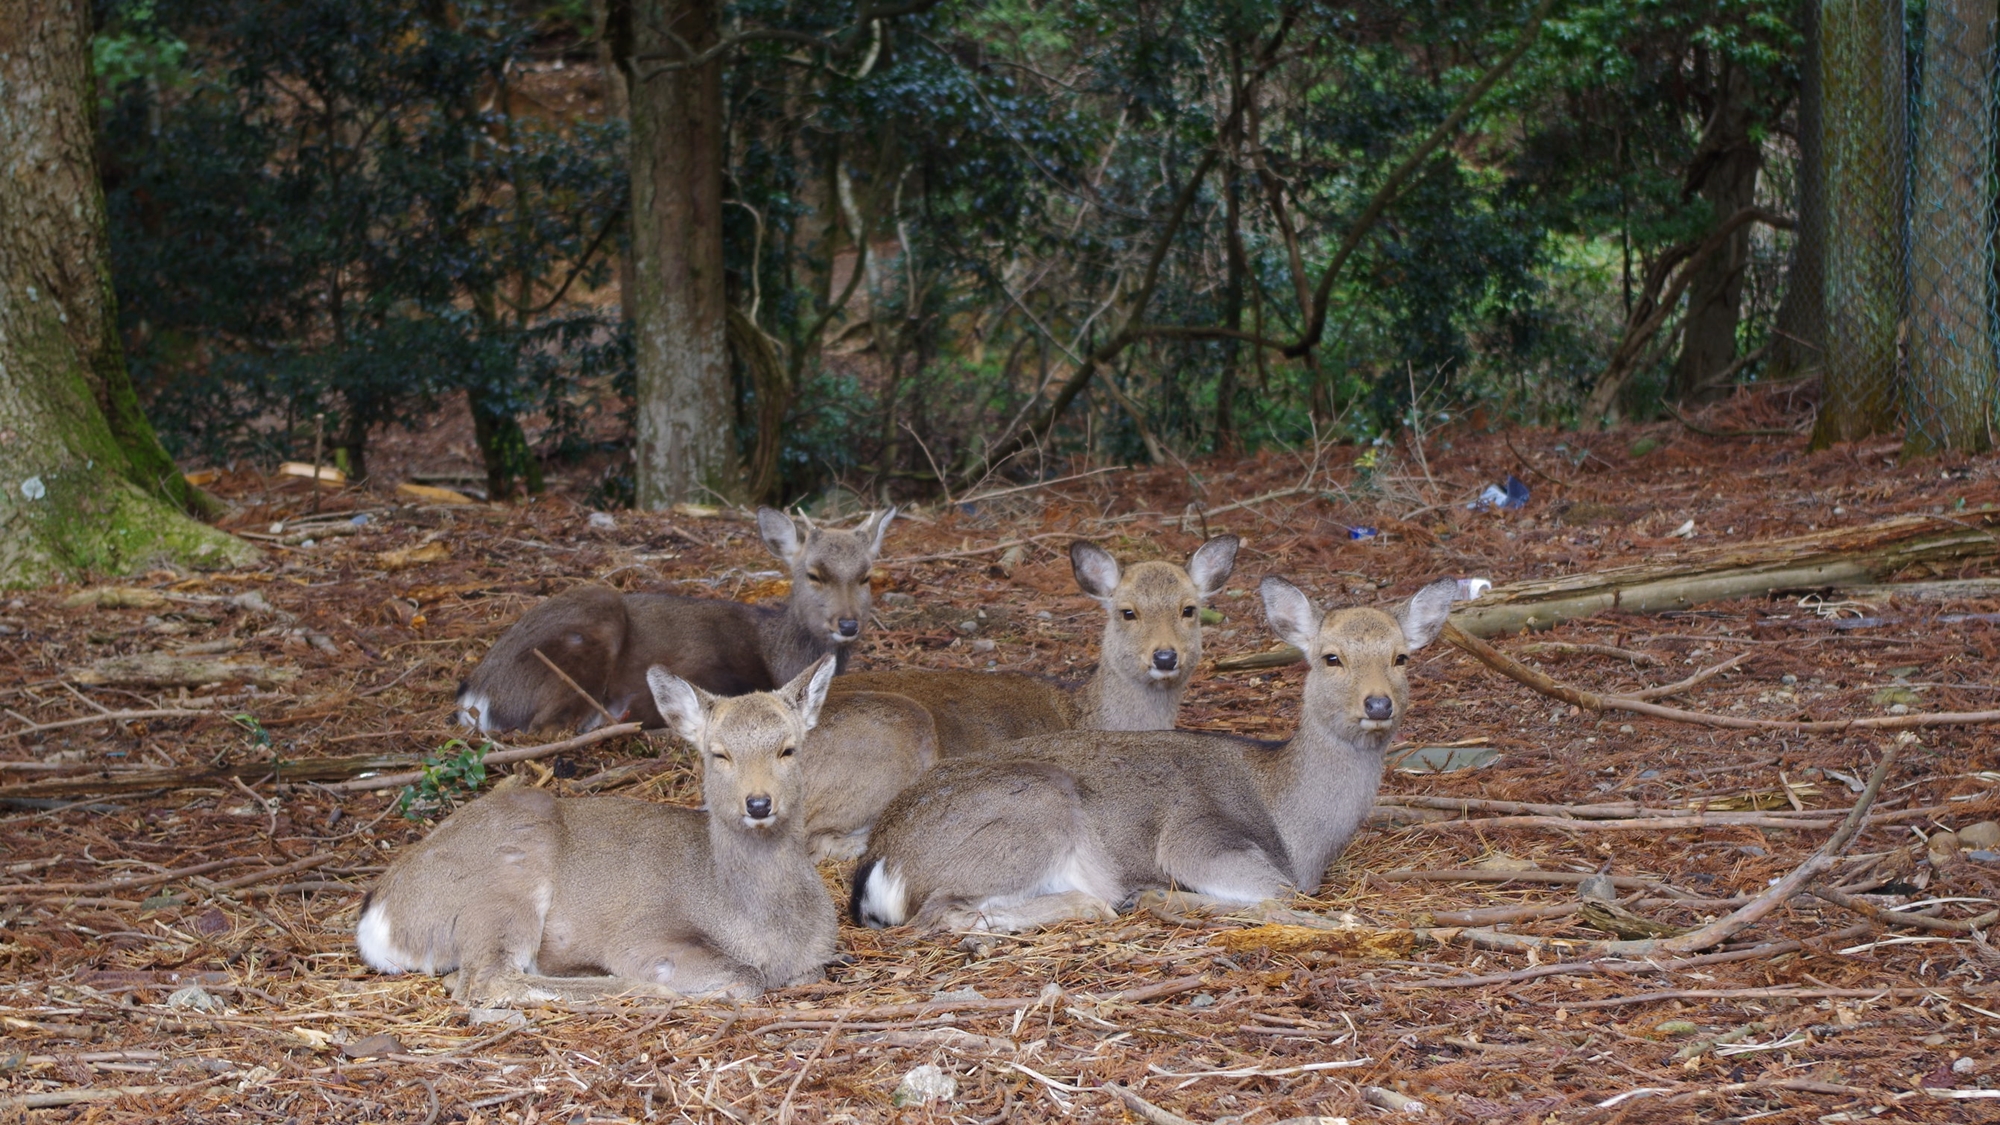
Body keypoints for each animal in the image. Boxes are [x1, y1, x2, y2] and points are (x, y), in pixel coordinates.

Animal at [356, 656, 840, 996]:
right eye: (719, 753)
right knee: (486, 981)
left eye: (789, 749)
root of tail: (377, 921)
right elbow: (745, 977)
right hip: (503, 883)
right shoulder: (644, 936)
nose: (758, 803)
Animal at [458, 504, 896, 732]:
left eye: (866, 575)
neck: (775, 654)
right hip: (589, 625)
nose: (848, 624)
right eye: (813, 574)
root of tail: (475, 696)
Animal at [792, 532, 1232, 856]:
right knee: (816, 839)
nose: (1165, 656)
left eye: (1189, 609)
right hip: (894, 729)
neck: (1084, 711)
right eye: (1127, 612)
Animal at [844, 568, 1456, 928]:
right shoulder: (1197, 836)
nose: (1378, 704)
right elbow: (1278, 895)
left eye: (1401, 657)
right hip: (1033, 807)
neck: (1298, 834)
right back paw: (1101, 901)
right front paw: (1163, 897)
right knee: (941, 914)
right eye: (1331, 657)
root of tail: (880, 862)